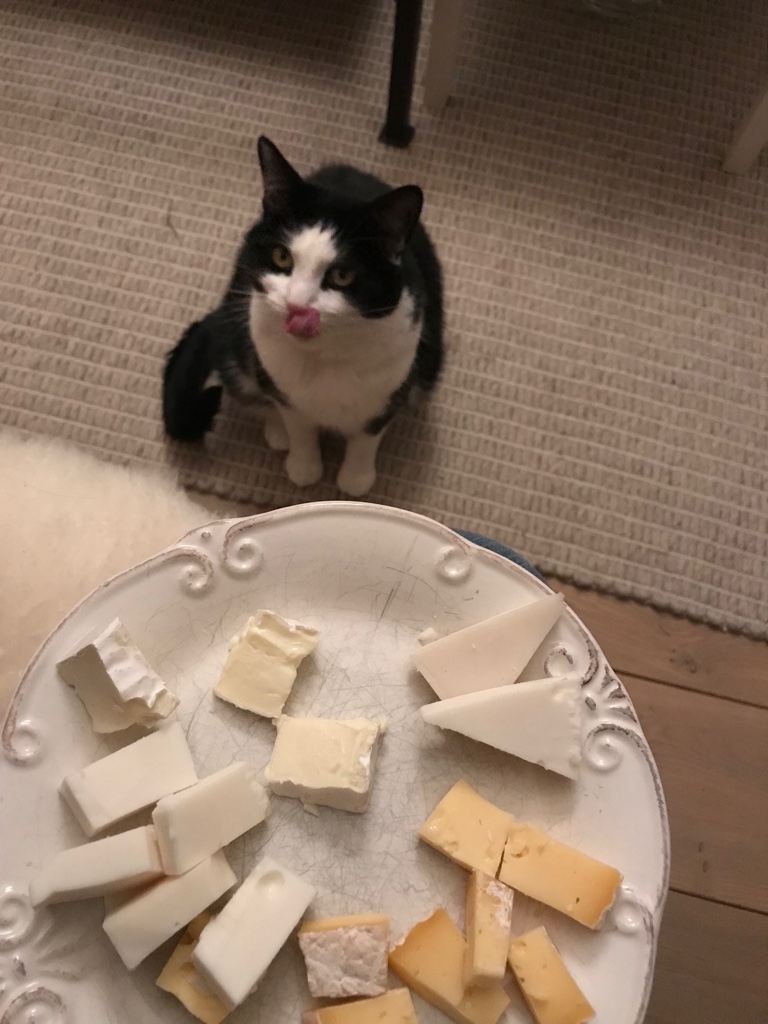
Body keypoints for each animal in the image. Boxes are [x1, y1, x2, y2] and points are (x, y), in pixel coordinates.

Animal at [162, 136, 444, 496]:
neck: (324, 355)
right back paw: (276, 432)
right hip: (235, 345)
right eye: (281, 257)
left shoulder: (391, 387)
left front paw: (355, 480)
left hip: (429, 363)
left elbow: (367, 436)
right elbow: (298, 426)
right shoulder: (284, 388)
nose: (296, 304)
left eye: (342, 276)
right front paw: (304, 466)